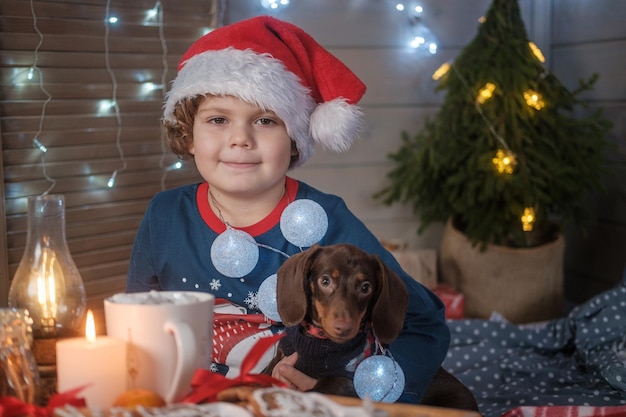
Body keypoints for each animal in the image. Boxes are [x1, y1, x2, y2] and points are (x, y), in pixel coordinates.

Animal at [264, 242, 408, 394]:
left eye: (365, 288)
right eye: (325, 281)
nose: (344, 328)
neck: (318, 339)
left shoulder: (345, 380)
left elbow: (313, 391)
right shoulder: (280, 356)